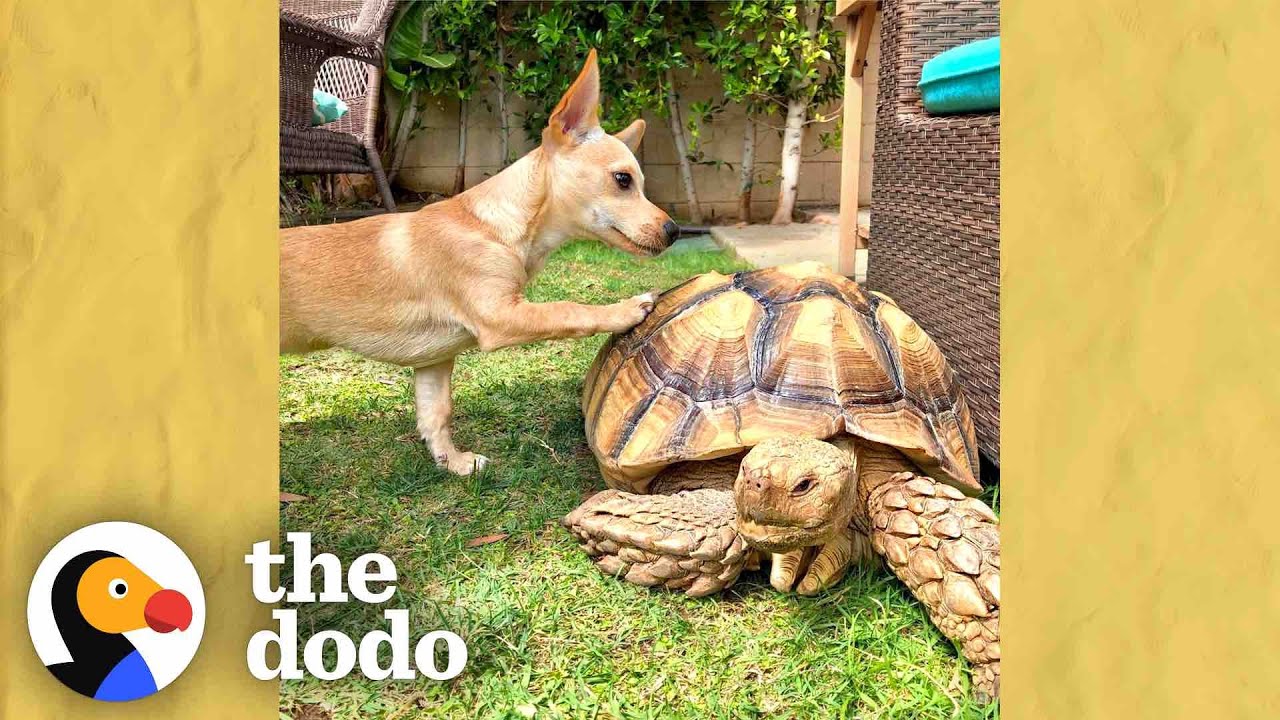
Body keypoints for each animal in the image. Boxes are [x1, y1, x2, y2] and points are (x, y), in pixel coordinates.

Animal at [282, 51, 680, 476]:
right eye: (623, 180)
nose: (674, 231)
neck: (490, 226)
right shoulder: (502, 316)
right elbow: (570, 310)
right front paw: (625, 309)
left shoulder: (435, 360)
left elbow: (436, 413)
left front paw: (453, 463)